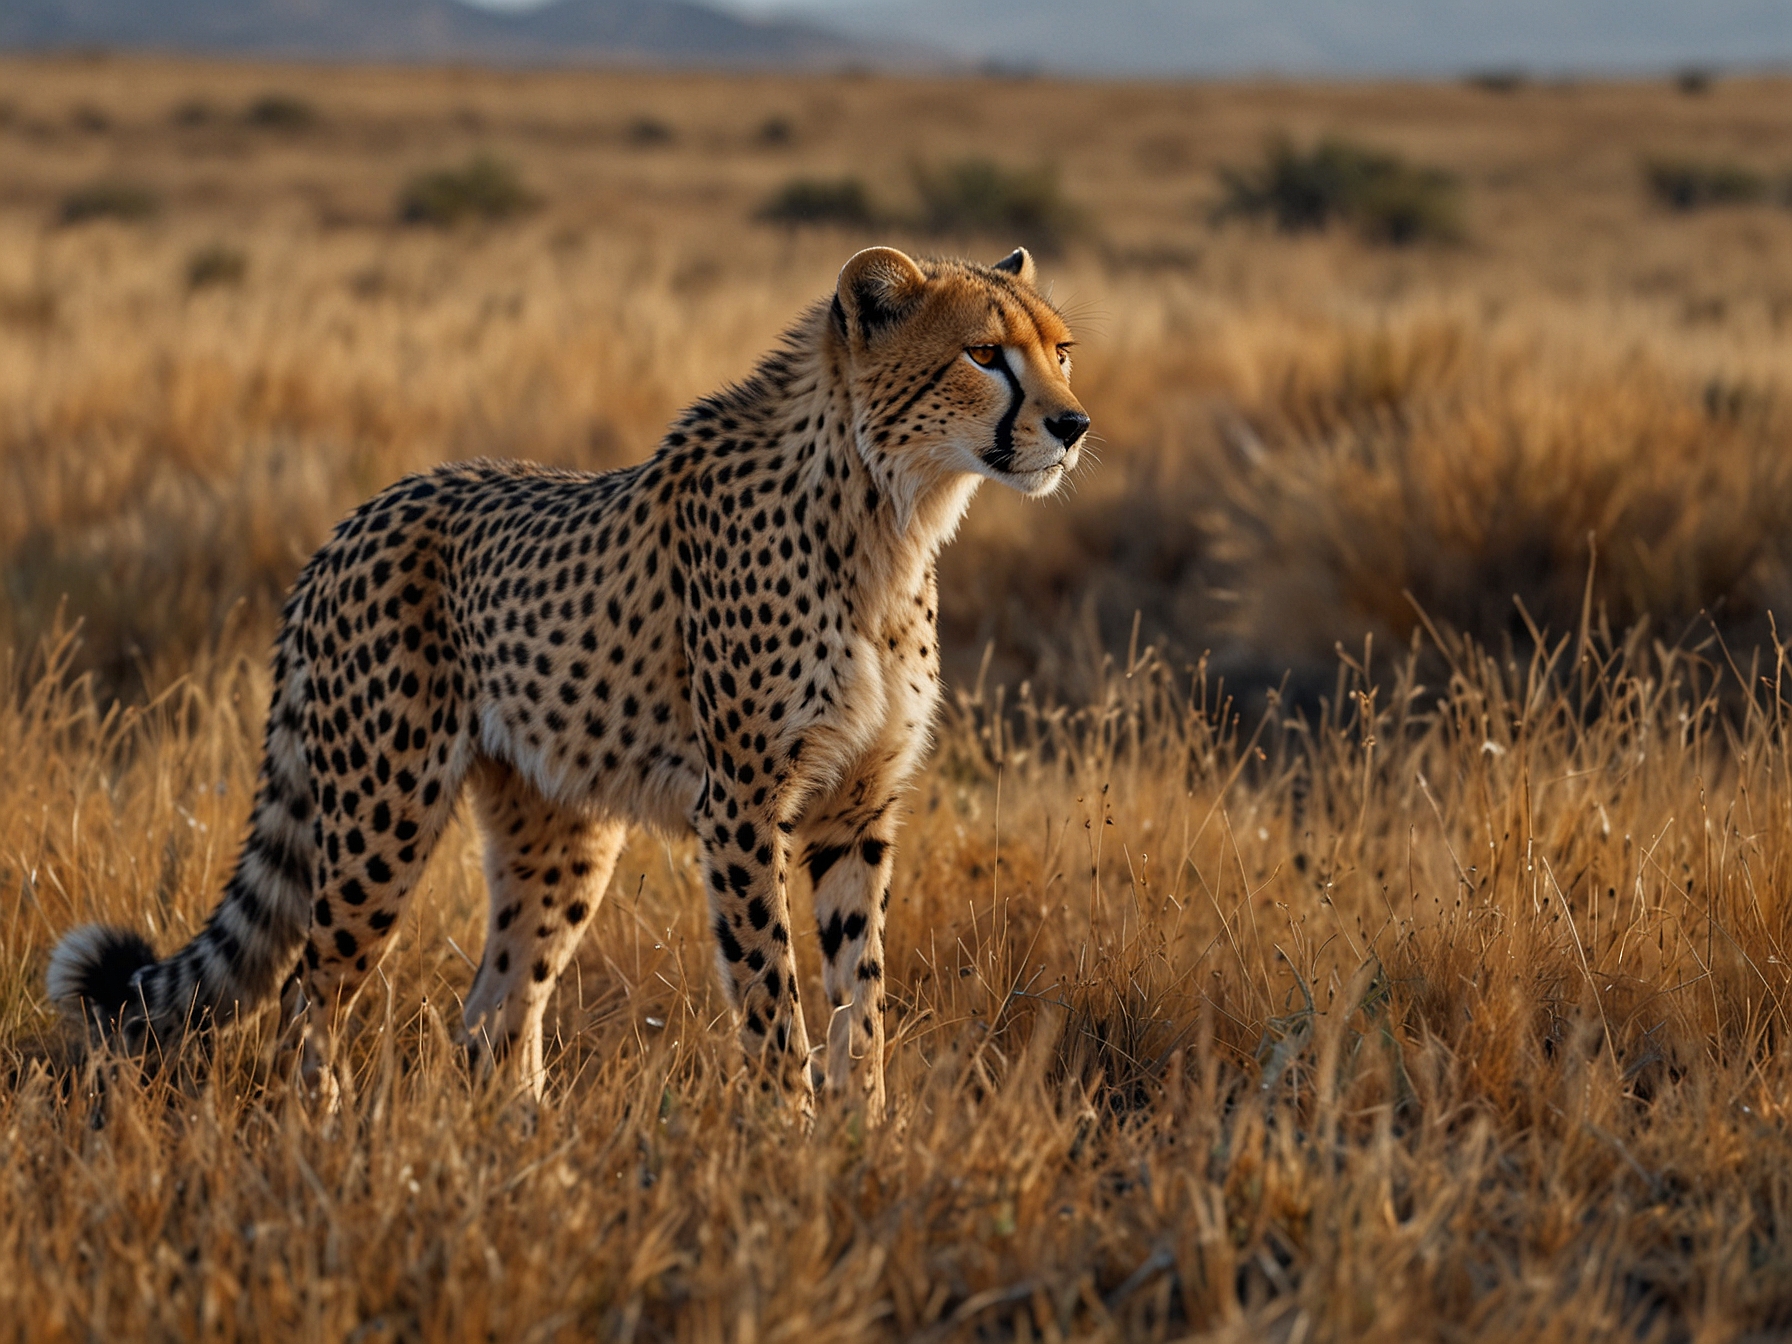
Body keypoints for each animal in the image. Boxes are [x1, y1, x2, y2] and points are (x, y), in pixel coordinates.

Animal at [46, 245, 1091, 1117]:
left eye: (1062, 350)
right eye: (985, 354)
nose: (1073, 423)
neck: (887, 509)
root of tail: (355, 519)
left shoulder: (856, 805)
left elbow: (857, 991)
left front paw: (865, 1134)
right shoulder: (743, 801)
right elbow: (771, 986)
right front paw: (787, 1135)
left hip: (557, 825)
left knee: (494, 1004)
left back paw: (523, 1147)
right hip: (383, 809)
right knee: (312, 987)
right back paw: (324, 1134)